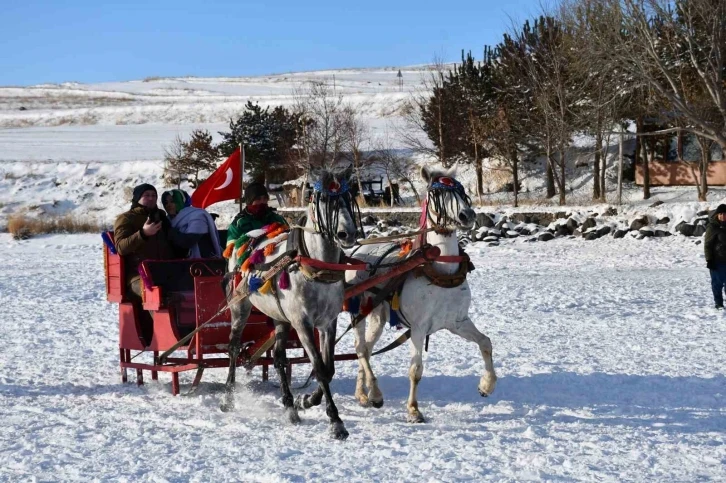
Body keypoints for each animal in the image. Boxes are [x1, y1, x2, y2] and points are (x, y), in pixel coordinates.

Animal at [222, 168, 358, 440]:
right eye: (323, 200)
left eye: (349, 197)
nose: (347, 234)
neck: (315, 265)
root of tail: (242, 241)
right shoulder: (302, 323)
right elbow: (318, 367)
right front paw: (335, 421)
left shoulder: (328, 322)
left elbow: (328, 368)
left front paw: (305, 400)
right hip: (240, 307)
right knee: (233, 347)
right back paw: (228, 397)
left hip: (279, 316)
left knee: (278, 357)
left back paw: (289, 406)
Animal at [348, 167, 500, 424]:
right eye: (436, 193)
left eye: (461, 190)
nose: (467, 215)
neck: (441, 271)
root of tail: (357, 250)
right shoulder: (418, 328)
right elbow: (416, 370)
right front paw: (413, 410)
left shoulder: (457, 322)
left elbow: (485, 342)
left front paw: (486, 385)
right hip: (359, 310)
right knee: (360, 349)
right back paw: (375, 394)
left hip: (378, 315)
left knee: (366, 349)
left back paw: (363, 394)